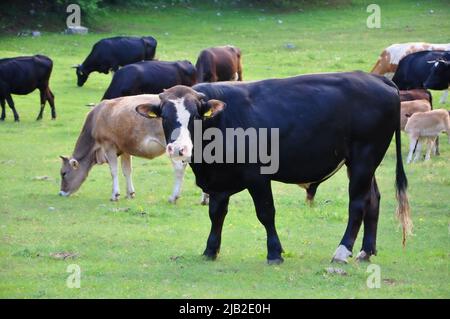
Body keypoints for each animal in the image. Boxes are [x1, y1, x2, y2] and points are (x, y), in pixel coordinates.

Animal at [135, 72, 414, 264]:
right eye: (165, 116)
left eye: (195, 116)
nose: (179, 149)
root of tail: (377, 79)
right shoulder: (218, 181)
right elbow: (216, 213)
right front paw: (210, 250)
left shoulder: (257, 176)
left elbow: (266, 213)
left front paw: (274, 252)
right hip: (362, 162)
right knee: (372, 200)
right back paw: (366, 251)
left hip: (364, 158)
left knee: (357, 204)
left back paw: (342, 251)